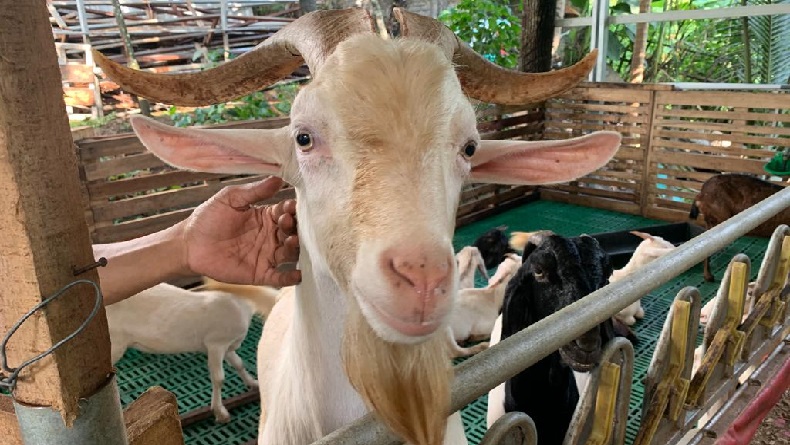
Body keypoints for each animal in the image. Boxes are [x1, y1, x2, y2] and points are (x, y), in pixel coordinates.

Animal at [106, 279, 278, 423]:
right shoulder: (215, 344)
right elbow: (219, 378)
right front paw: (220, 412)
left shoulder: (227, 346)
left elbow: (239, 364)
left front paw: (253, 383)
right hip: (116, 344)